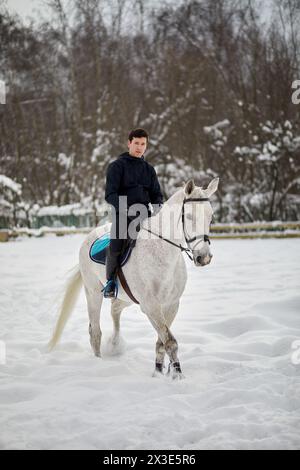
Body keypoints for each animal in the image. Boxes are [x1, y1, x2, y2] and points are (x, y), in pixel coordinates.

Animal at [48, 178, 218, 380]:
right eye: (190, 216)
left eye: (210, 216)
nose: (204, 258)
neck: (162, 250)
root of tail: (90, 236)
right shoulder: (151, 306)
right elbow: (170, 341)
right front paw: (177, 376)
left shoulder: (171, 305)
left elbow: (161, 342)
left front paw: (158, 372)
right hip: (93, 293)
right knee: (95, 331)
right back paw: (99, 363)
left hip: (126, 297)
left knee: (115, 310)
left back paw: (115, 343)